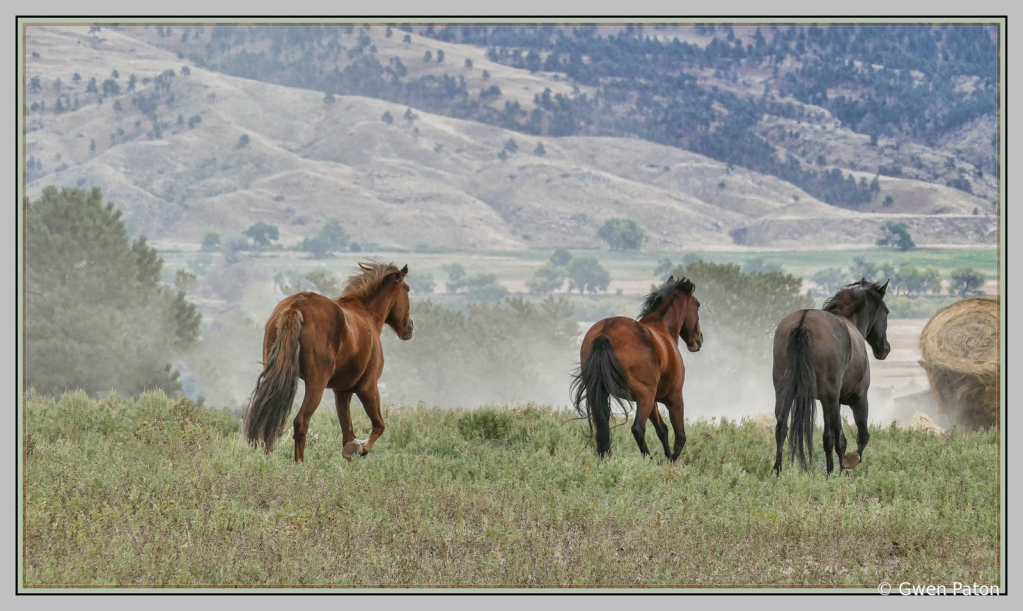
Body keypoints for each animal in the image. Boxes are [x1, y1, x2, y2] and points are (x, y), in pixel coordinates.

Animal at [241, 259, 413, 460]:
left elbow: (347, 433)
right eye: (407, 290)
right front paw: (359, 448)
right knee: (301, 421)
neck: (366, 314)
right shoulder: (367, 386)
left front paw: (349, 453)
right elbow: (378, 425)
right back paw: (299, 463)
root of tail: (296, 307)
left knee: (270, 416)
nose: (410, 327)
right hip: (317, 384)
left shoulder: (342, 391)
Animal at [568, 274, 703, 458]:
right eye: (697, 305)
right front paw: (672, 460)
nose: (698, 340)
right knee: (638, 429)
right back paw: (648, 458)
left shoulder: (654, 402)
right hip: (645, 397)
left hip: (600, 395)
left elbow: (662, 430)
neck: (662, 329)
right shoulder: (674, 397)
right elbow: (680, 436)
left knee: (601, 427)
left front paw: (667, 457)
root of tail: (605, 332)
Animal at [769, 278, 892, 476]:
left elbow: (841, 437)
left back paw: (778, 471)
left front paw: (842, 467)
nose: (885, 349)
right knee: (828, 437)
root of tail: (803, 322)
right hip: (830, 398)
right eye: (886, 312)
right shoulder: (857, 398)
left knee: (781, 428)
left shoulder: (835, 402)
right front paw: (848, 464)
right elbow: (861, 436)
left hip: (784, 392)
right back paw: (829, 473)